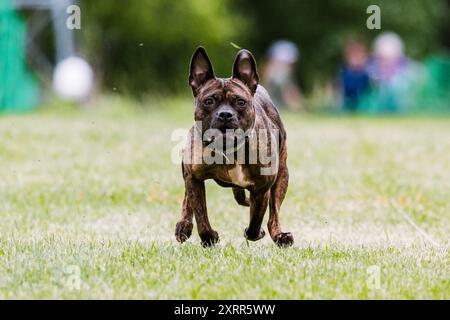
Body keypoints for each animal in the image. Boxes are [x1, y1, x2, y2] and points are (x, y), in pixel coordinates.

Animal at [174, 47, 294, 248]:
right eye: (209, 101)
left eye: (240, 101)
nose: (225, 114)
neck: (229, 149)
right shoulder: (193, 177)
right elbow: (200, 215)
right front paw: (209, 237)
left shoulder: (262, 188)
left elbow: (256, 221)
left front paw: (256, 232)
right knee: (187, 199)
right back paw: (183, 225)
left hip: (282, 175)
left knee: (273, 214)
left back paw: (280, 235)